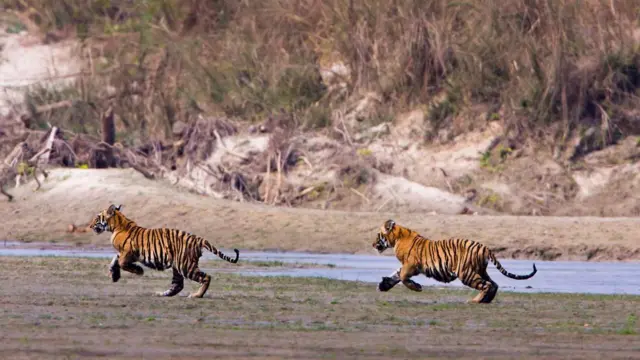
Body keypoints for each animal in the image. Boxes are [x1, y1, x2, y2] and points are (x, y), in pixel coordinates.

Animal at [89, 204, 240, 300]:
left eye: (97, 218)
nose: (90, 226)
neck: (117, 225)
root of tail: (198, 239)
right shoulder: (124, 253)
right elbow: (115, 260)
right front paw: (114, 275)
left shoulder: (129, 252)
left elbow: (121, 262)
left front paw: (138, 271)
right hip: (178, 266)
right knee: (178, 285)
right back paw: (162, 294)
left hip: (185, 266)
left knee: (206, 277)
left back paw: (196, 295)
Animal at [372, 219, 536, 304]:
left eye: (378, 235)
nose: (373, 244)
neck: (397, 238)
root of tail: (485, 247)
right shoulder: (407, 265)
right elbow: (396, 275)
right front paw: (383, 285)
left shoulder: (411, 265)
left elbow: (403, 277)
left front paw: (417, 287)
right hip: (479, 270)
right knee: (494, 284)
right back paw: (486, 300)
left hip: (466, 273)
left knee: (487, 285)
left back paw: (475, 300)